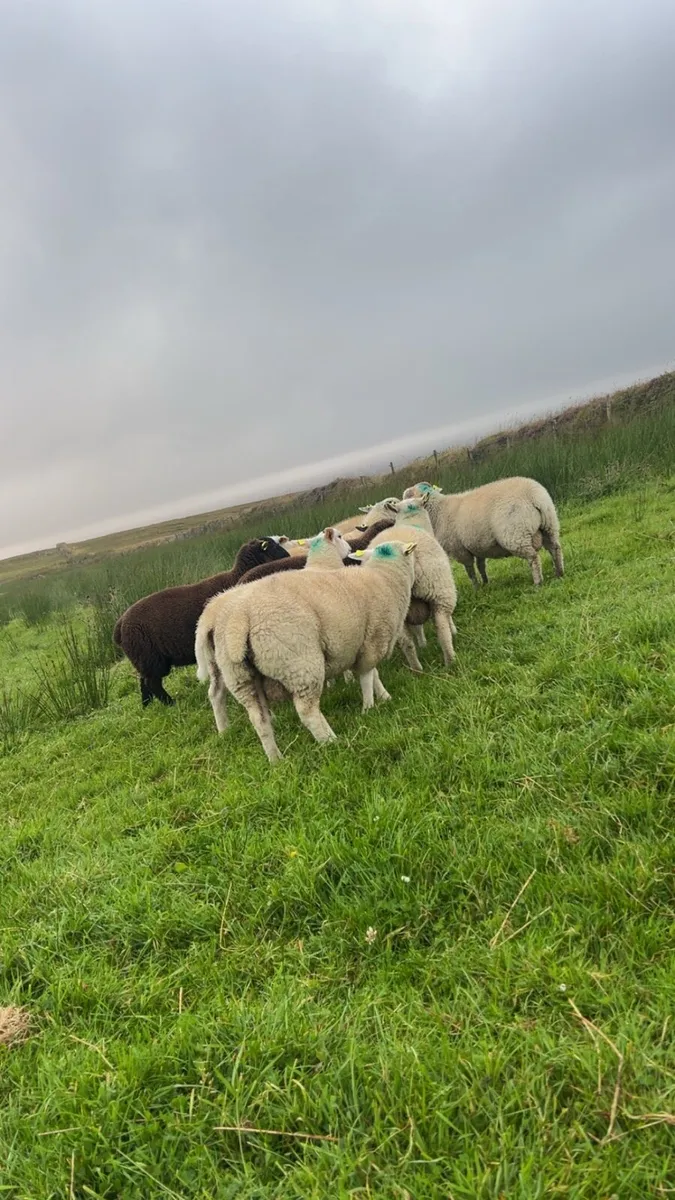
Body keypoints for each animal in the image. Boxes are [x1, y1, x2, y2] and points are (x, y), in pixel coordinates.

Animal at [113, 536, 290, 707]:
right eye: (273, 546)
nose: (288, 556)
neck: (234, 577)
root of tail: (120, 626)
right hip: (149, 658)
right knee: (152, 683)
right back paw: (170, 704)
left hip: (144, 660)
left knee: (143, 681)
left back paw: (147, 705)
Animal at [195, 540, 416, 762]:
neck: (385, 578)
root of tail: (238, 619)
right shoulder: (374, 640)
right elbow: (367, 677)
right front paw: (370, 707)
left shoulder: (363, 644)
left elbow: (373, 674)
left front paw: (383, 697)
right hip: (299, 662)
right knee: (307, 711)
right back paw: (331, 742)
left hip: (239, 675)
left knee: (252, 715)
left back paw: (272, 757)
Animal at [355, 495, 458, 672]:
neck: (411, 520)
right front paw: (453, 631)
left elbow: (417, 628)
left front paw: (422, 644)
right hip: (438, 588)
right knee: (442, 627)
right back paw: (451, 661)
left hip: (395, 610)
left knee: (405, 641)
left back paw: (417, 669)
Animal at [402, 479, 564, 587]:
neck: (438, 510)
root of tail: (534, 497)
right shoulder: (477, 545)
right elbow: (481, 566)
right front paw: (486, 583)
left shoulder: (460, 550)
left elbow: (470, 571)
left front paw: (476, 587)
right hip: (550, 525)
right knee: (555, 549)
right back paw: (559, 573)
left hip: (516, 534)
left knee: (533, 557)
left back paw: (538, 582)